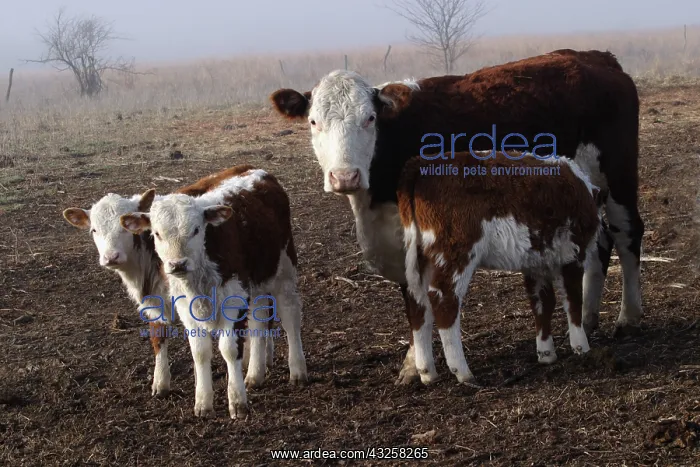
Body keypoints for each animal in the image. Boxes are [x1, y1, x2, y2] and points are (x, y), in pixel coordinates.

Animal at [120, 166, 307, 418]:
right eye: (157, 233)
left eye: (196, 229)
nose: (177, 264)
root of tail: (255, 170)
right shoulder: (186, 306)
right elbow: (200, 351)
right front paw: (203, 403)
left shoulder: (233, 298)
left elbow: (229, 349)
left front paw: (237, 402)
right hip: (256, 282)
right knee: (259, 321)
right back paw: (255, 375)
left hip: (284, 267)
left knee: (289, 315)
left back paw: (297, 370)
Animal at [398, 151, 600, 384]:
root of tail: (420, 164)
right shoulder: (573, 254)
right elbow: (573, 300)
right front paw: (581, 347)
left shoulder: (536, 262)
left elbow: (543, 303)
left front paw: (546, 353)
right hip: (455, 251)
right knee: (443, 299)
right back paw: (462, 371)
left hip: (420, 255)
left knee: (417, 301)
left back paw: (427, 371)